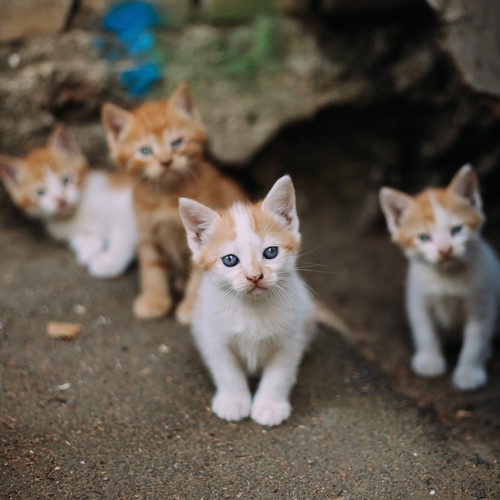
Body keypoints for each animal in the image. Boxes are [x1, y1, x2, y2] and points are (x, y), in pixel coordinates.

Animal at [0, 125, 137, 280]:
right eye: (40, 192)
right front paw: (90, 251)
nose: (61, 200)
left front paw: (109, 262)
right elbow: (81, 236)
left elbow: (123, 235)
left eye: (66, 180)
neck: (77, 212)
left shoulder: (129, 205)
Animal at [101, 80, 246, 322]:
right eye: (145, 150)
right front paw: (154, 300)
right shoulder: (146, 231)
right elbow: (151, 268)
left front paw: (192, 309)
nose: (166, 161)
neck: (166, 198)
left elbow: (199, 275)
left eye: (177, 142)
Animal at [179, 175, 348, 426]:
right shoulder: (214, 335)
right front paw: (233, 402)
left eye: (270, 252)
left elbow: (280, 374)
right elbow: (227, 371)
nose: (254, 276)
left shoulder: (290, 338)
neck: (253, 308)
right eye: (230, 260)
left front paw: (269, 406)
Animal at [378, 164, 500, 390]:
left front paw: (469, 373)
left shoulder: (482, 303)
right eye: (424, 238)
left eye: (457, 230)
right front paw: (429, 361)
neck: (447, 276)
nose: (445, 250)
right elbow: (424, 331)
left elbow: (476, 340)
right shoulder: (417, 298)